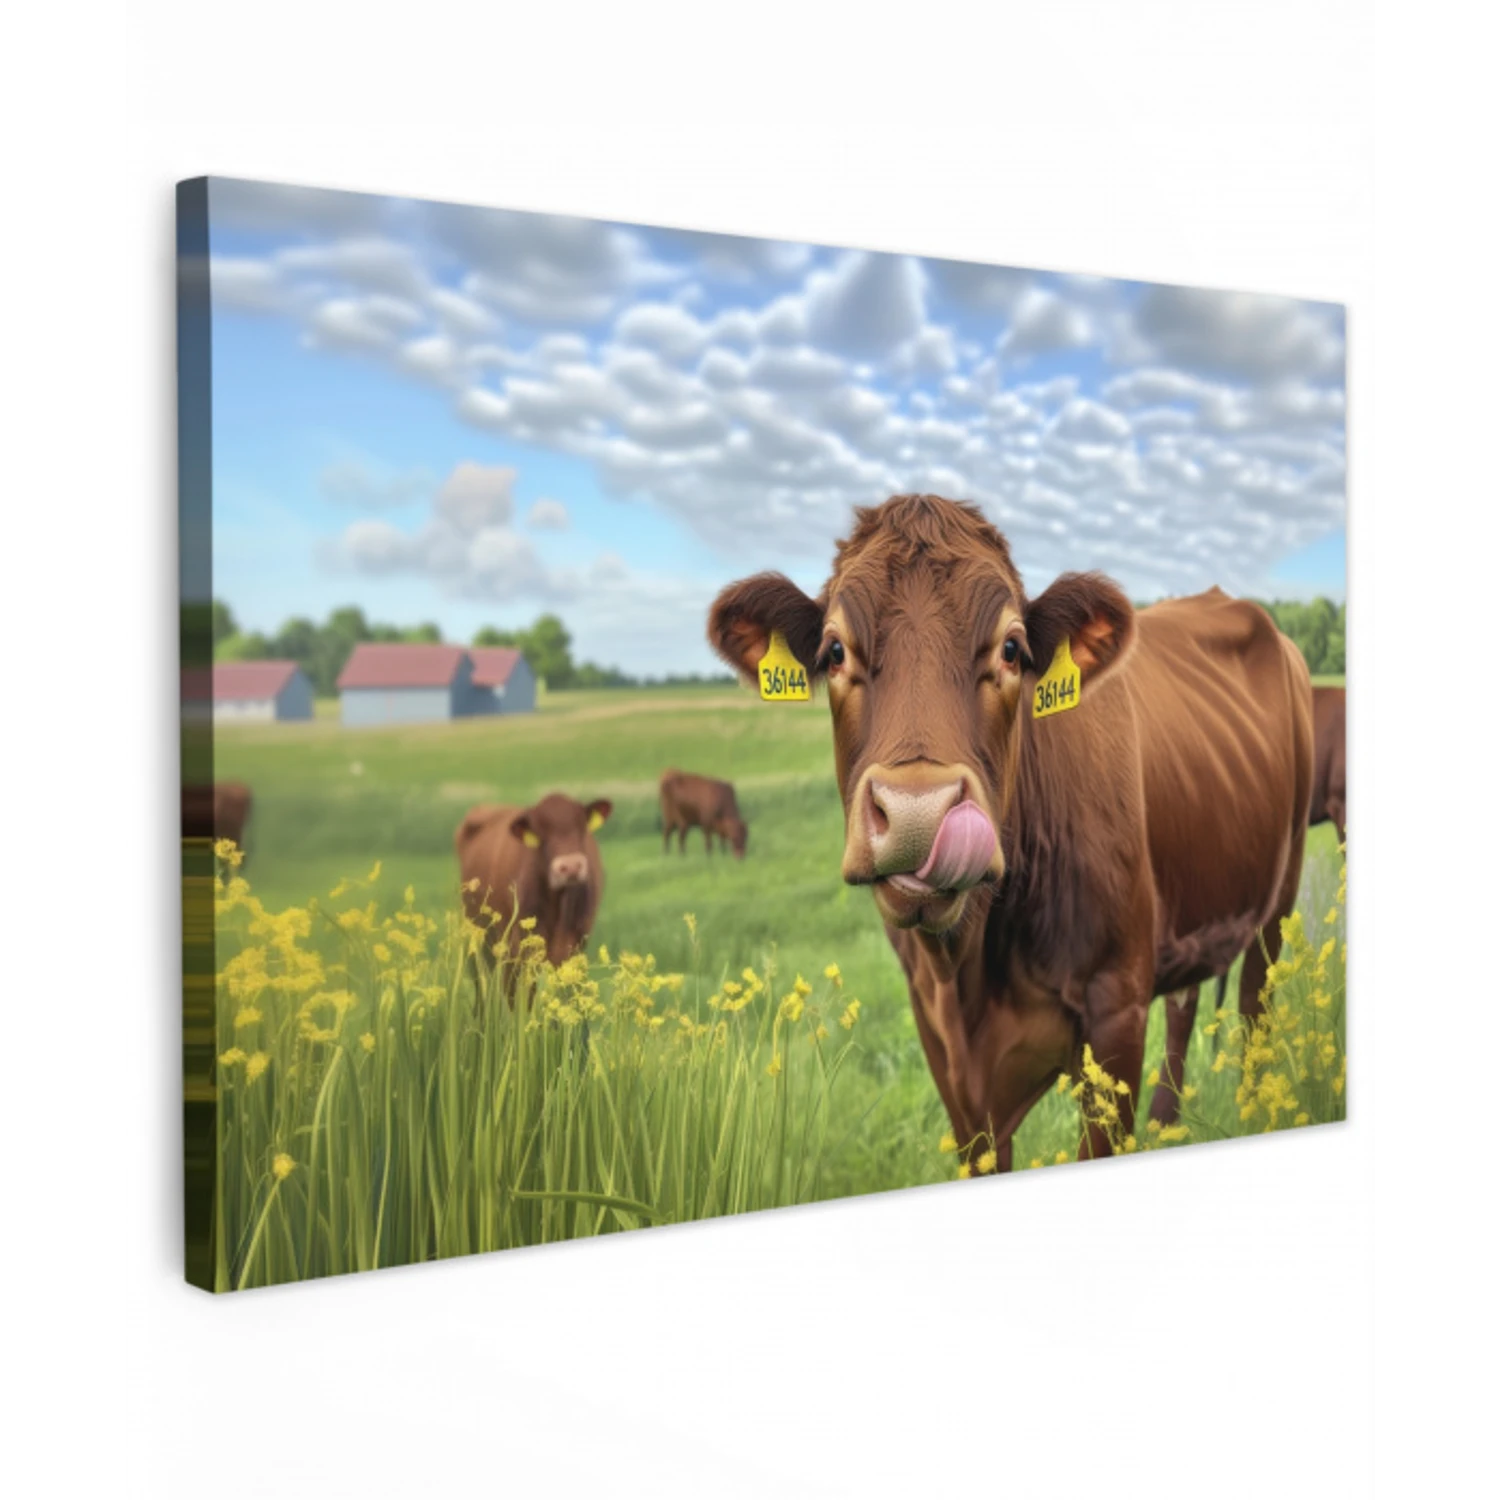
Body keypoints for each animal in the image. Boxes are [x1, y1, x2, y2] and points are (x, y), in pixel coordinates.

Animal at [708, 494, 1313, 1170]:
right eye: (835, 651)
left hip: (1278, 899)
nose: (918, 814)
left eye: (1012, 649)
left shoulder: (1117, 1009)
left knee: (1255, 1005)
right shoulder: (942, 1043)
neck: (969, 969)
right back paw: (1168, 1122)